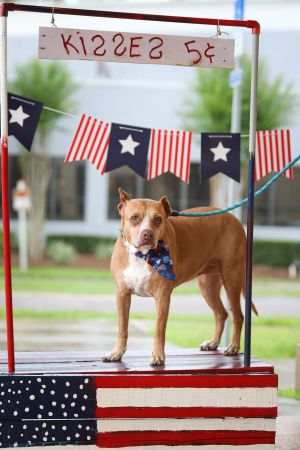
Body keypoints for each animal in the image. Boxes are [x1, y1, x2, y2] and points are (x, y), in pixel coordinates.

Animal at [103, 187, 258, 366]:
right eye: (134, 218)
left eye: (158, 219)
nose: (147, 234)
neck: (142, 255)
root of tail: (233, 218)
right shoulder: (122, 295)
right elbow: (122, 328)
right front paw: (117, 353)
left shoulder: (162, 296)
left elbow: (159, 329)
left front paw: (158, 356)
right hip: (208, 285)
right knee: (221, 313)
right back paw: (213, 343)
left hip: (231, 279)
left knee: (238, 315)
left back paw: (233, 347)